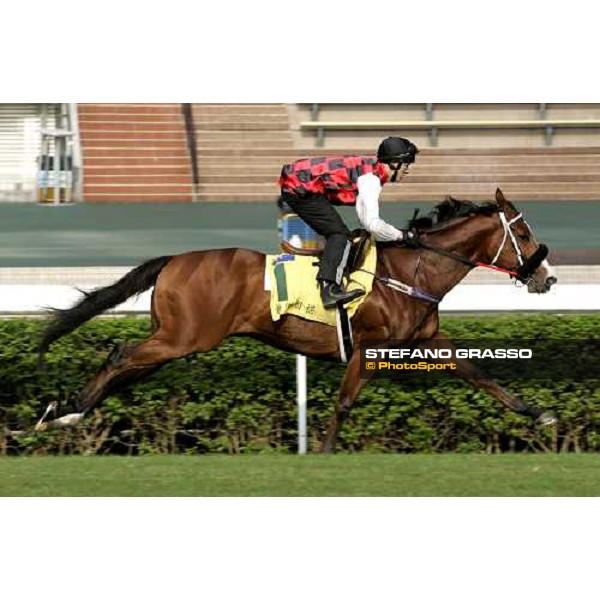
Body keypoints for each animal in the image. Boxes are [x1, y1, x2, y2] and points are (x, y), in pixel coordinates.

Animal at [34, 188, 556, 450]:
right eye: (523, 235)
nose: (546, 277)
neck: (413, 272)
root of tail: (174, 260)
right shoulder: (369, 347)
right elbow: (345, 402)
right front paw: (324, 454)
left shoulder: (427, 340)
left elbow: (481, 375)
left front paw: (539, 413)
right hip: (185, 337)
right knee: (120, 355)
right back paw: (64, 411)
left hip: (175, 339)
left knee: (126, 368)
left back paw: (67, 412)